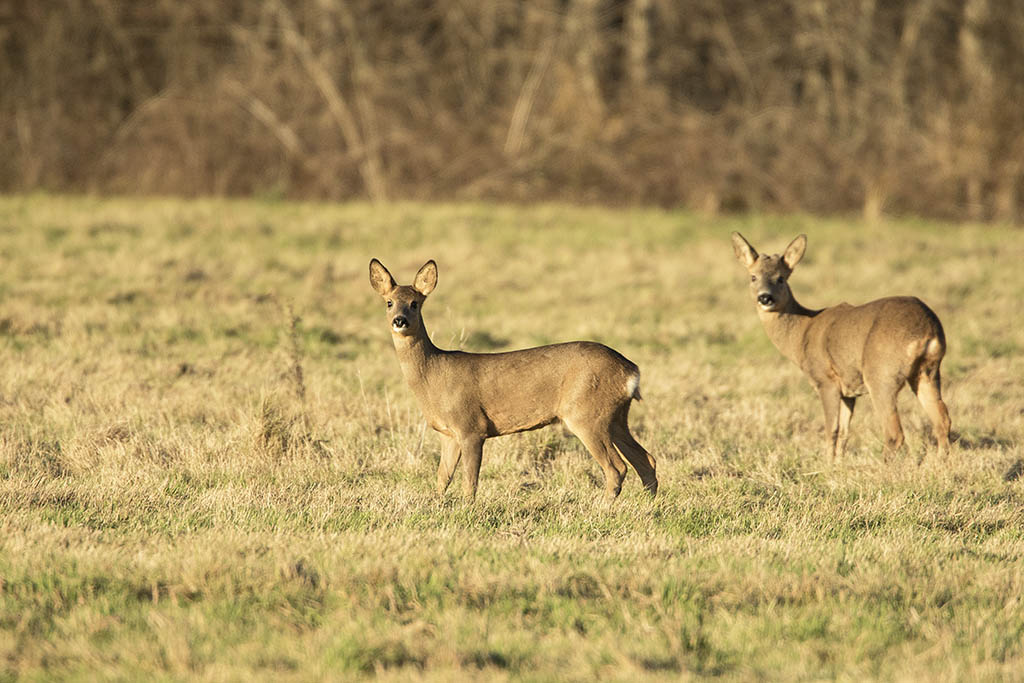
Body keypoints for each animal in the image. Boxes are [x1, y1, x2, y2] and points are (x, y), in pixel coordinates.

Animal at [368, 259, 655, 499]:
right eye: (389, 302)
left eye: (415, 303)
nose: (400, 320)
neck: (433, 377)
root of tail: (631, 371)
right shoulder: (448, 434)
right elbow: (442, 478)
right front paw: (437, 507)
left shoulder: (471, 426)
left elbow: (470, 481)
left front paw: (466, 511)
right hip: (615, 416)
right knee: (646, 460)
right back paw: (648, 507)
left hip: (586, 413)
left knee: (616, 467)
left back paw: (603, 508)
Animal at [733, 232, 946, 462]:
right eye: (753, 277)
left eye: (781, 278)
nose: (765, 297)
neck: (801, 335)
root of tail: (928, 329)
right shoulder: (848, 389)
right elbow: (844, 432)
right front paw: (837, 463)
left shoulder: (825, 380)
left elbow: (831, 430)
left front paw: (826, 464)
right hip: (928, 371)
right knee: (942, 419)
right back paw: (940, 462)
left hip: (881, 373)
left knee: (894, 432)